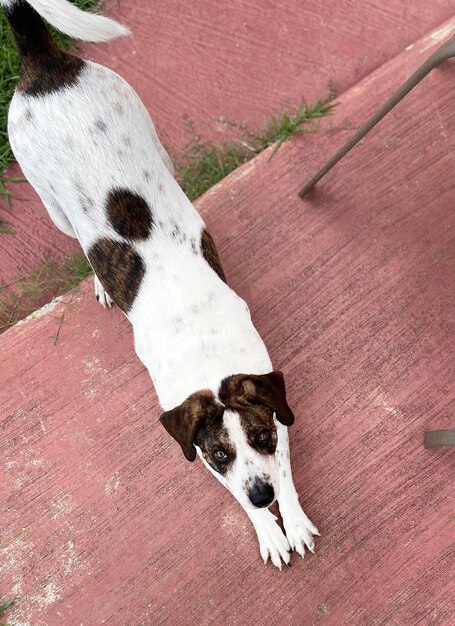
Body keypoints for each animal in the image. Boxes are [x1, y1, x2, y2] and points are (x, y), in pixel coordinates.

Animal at [2, 0, 320, 564]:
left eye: (262, 436)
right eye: (218, 454)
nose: (262, 497)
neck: (208, 355)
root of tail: (44, 61)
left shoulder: (275, 410)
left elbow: (286, 466)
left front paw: (293, 517)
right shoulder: (196, 446)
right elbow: (234, 494)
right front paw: (268, 528)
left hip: (151, 138)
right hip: (52, 204)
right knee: (77, 238)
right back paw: (101, 283)